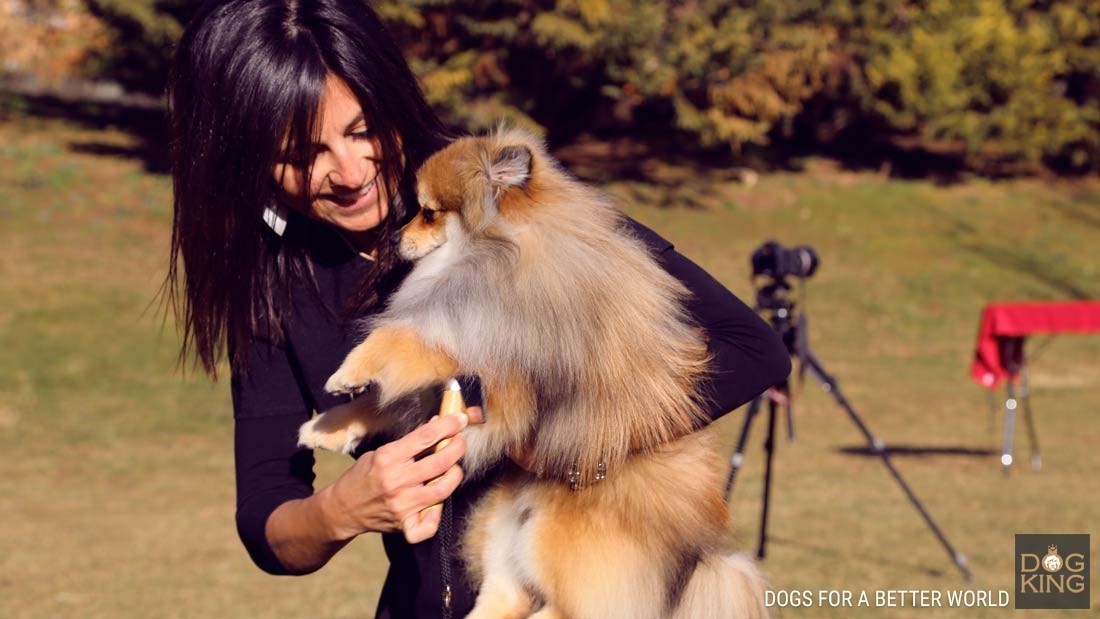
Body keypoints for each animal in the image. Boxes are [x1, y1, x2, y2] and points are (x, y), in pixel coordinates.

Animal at [297, 126, 770, 619]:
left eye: (428, 213)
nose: (391, 240)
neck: (497, 254)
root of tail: (694, 554)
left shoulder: (493, 350)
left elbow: (406, 341)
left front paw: (350, 371)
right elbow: (388, 398)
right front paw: (328, 426)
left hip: (559, 545)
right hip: (502, 539)